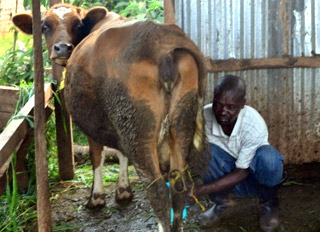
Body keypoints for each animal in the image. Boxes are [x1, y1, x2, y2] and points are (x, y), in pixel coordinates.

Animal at [12, 4, 209, 232]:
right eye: (45, 26)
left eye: (77, 24)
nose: (62, 48)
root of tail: (163, 42)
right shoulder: (117, 123)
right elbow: (121, 153)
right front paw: (123, 190)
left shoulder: (93, 123)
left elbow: (97, 155)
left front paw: (97, 197)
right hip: (179, 123)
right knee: (179, 186)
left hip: (138, 133)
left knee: (158, 192)